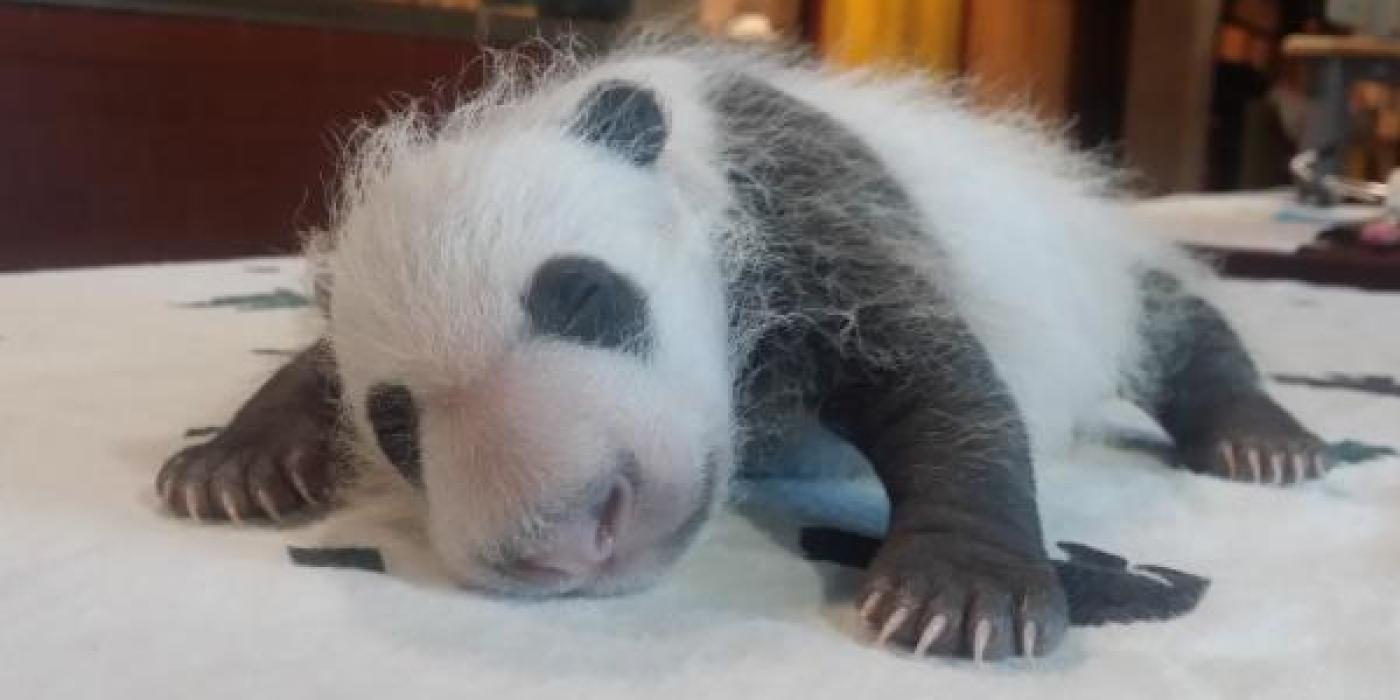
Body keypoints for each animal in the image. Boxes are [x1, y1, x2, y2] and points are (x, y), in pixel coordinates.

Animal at [158, 35, 1327, 660]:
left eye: (584, 297)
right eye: (395, 425)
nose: (569, 531)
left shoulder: (806, 197)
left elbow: (940, 380)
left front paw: (958, 592)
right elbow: (314, 360)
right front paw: (234, 463)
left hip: (1086, 259)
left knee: (1175, 321)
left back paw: (1260, 438)